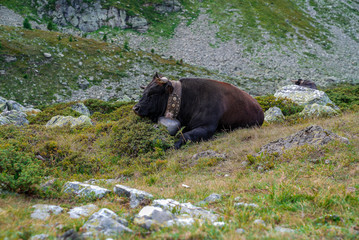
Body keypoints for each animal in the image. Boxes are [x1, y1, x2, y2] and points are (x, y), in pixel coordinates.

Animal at [134, 72, 266, 148]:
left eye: (153, 93)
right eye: (145, 90)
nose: (136, 108)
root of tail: (260, 109)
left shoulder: (206, 127)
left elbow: (185, 136)